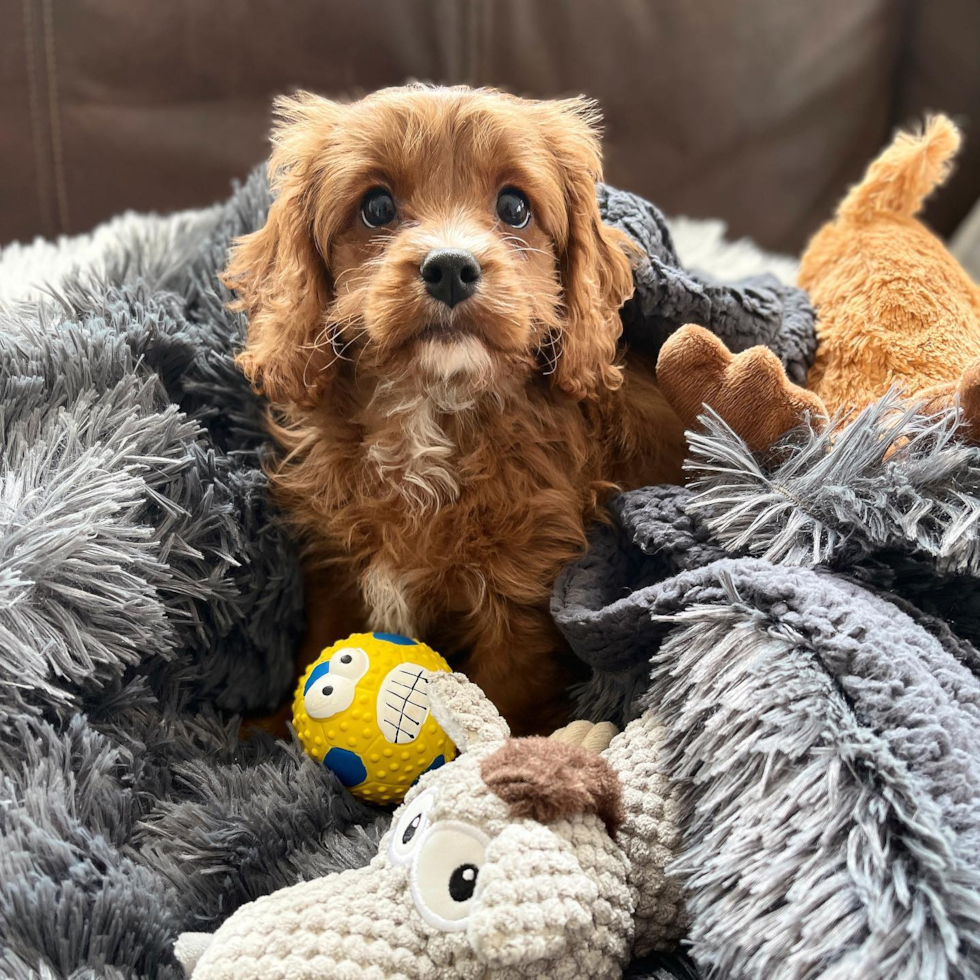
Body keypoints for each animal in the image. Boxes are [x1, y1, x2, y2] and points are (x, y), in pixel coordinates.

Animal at [224, 84, 680, 732]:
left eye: (514, 207)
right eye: (377, 208)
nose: (449, 267)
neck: (432, 407)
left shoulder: (522, 600)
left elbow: (500, 699)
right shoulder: (334, 568)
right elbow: (318, 643)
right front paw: (270, 732)